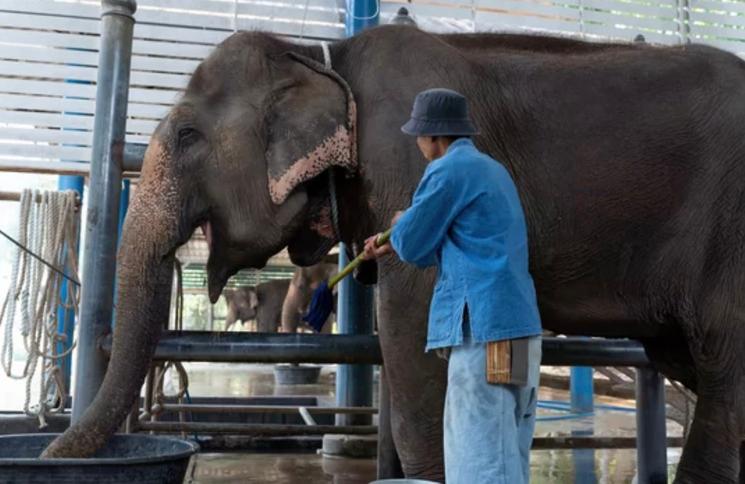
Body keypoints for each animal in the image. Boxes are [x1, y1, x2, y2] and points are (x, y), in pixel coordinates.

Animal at [42, 26, 745, 483]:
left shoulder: (409, 160)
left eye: (188, 136)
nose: (43, 455)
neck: (321, 57)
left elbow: (411, 324)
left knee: (722, 368)